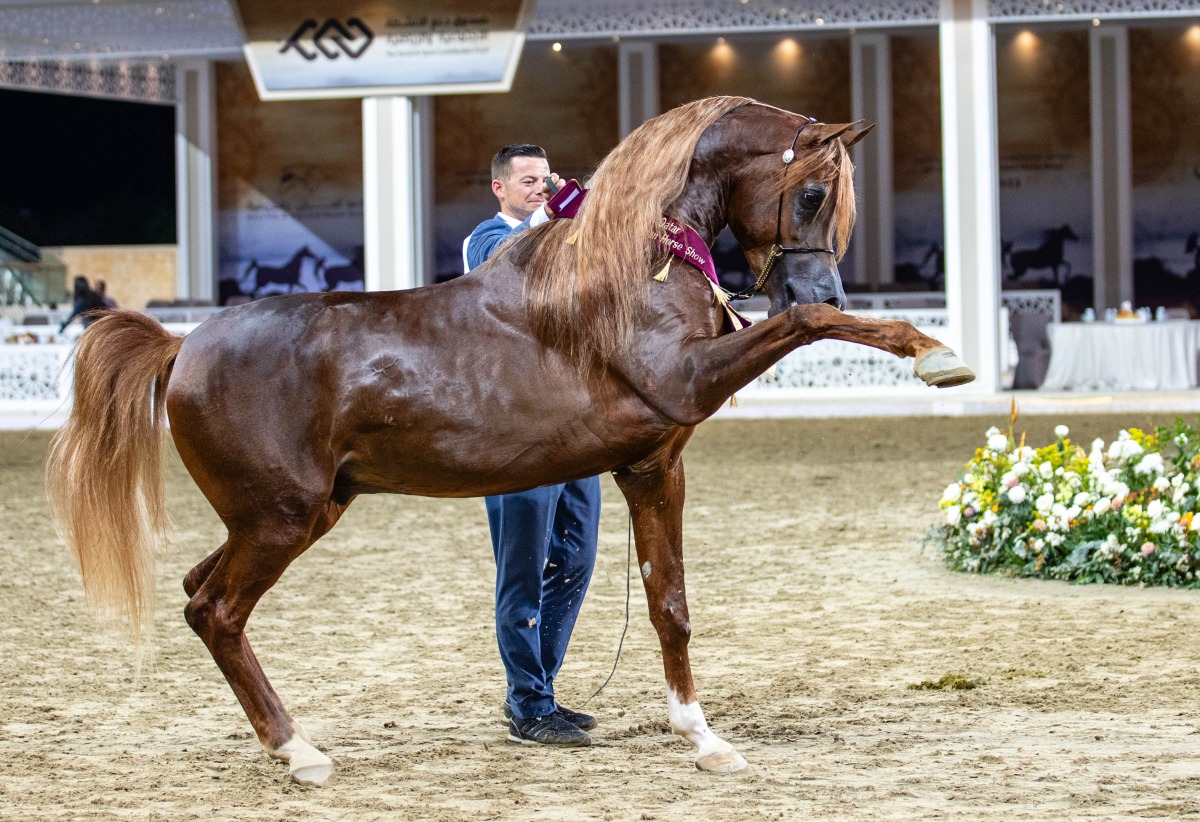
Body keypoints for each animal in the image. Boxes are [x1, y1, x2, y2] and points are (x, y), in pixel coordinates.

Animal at [46, 96, 974, 782]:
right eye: (813, 194)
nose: (816, 282)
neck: (629, 269)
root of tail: (183, 345)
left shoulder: (651, 468)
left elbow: (669, 605)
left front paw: (703, 738)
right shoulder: (691, 380)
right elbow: (807, 328)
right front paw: (937, 355)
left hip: (292, 515)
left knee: (201, 598)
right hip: (279, 519)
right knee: (217, 610)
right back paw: (299, 752)